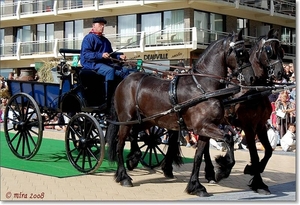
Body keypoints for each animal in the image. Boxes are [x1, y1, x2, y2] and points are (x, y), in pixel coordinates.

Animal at [105, 29, 248, 196]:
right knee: (120, 143)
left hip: (147, 120)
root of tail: (124, 81)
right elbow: (228, 138)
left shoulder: (205, 129)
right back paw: (124, 176)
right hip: (126, 121)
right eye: (240, 52)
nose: (250, 78)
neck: (203, 87)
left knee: (135, 134)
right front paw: (223, 169)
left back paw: (133, 159)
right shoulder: (203, 127)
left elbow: (199, 157)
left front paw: (196, 186)